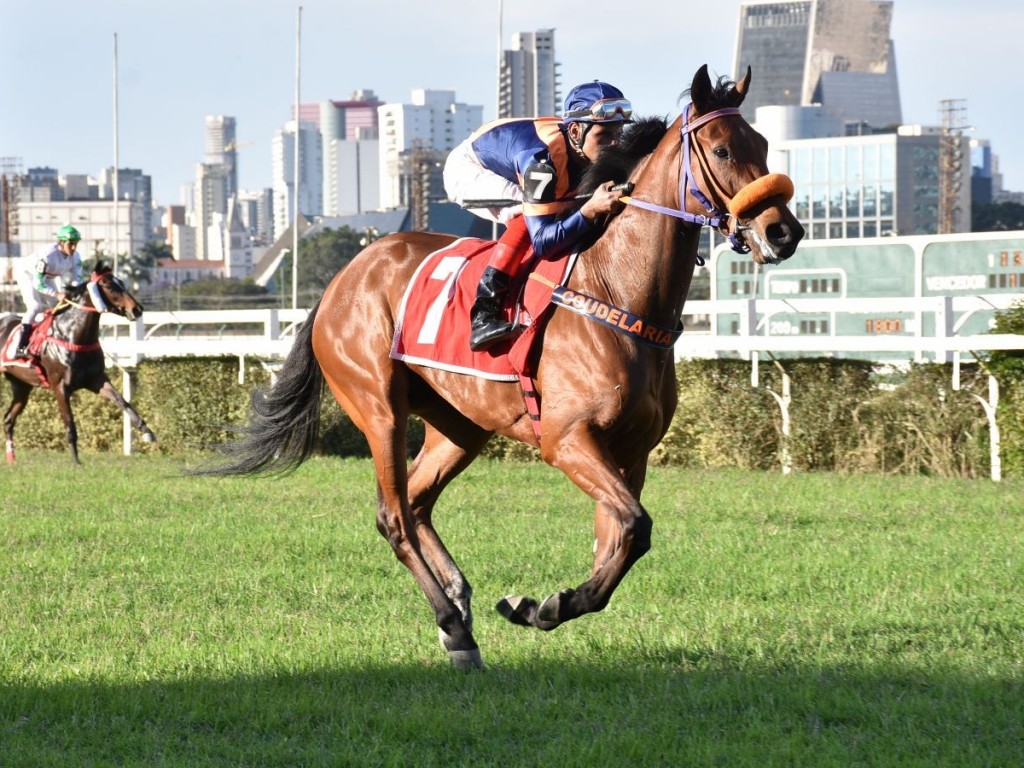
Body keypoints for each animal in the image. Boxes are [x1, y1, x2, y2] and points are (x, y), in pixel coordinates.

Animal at [0, 264, 155, 466]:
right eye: (109, 285)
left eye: (121, 282)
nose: (137, 309)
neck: (72, 335)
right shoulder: (60, 386)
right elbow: (69, 422)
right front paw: (76, 460)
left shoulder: (96, 380)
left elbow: (123, 402)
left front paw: (147, 432)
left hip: (22, 385)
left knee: (8, 419)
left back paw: (11, 457)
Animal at [203, 66, 802, 667]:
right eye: (722, 149)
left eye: (763, 144)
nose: (784, 232)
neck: (617, 292)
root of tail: (342, 280)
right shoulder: (567, 439)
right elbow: (634, 526)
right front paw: (548, 606)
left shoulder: (632, 450)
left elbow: (618, 541)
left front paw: (542, 604)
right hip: (379, 408)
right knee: (394, 517)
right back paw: (453, 623)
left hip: (459, 425)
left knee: (416, 503)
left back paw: (456, 604)